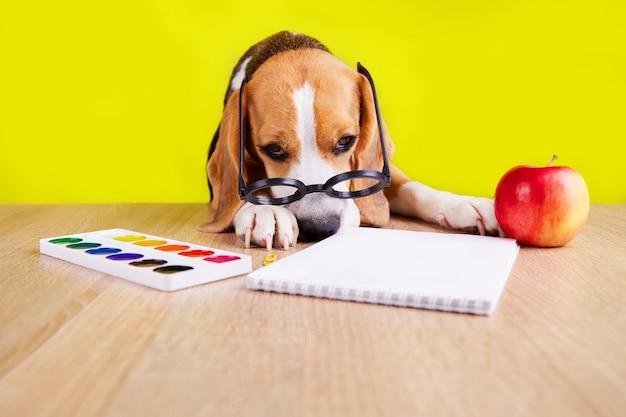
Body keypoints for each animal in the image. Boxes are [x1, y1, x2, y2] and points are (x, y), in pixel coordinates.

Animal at [197, 32, 500, 249]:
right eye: (273, 149)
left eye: (345, 141)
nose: (320, 228)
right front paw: (265, 213)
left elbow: (410, 188)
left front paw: (461, 205)